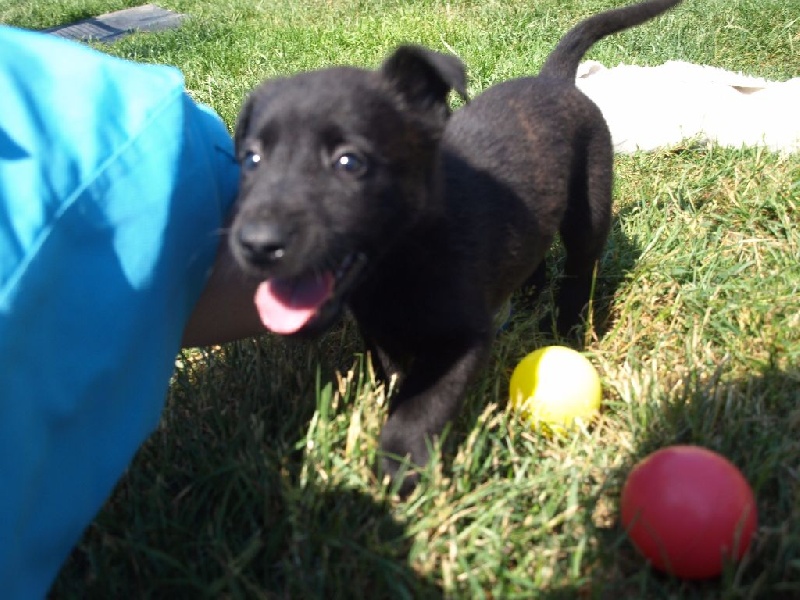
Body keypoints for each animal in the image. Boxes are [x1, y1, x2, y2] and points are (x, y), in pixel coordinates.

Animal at [229, 0, 682, 494]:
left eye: (349, 162)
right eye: (251, 159)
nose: (256, 245)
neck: (399, 263)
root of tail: (556, 79)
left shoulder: (463, 339)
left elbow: (419, 405)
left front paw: (401, 467)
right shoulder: (379, 328)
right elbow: (393, 375)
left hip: (590, 203)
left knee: (581, 266)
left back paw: (568, 326)